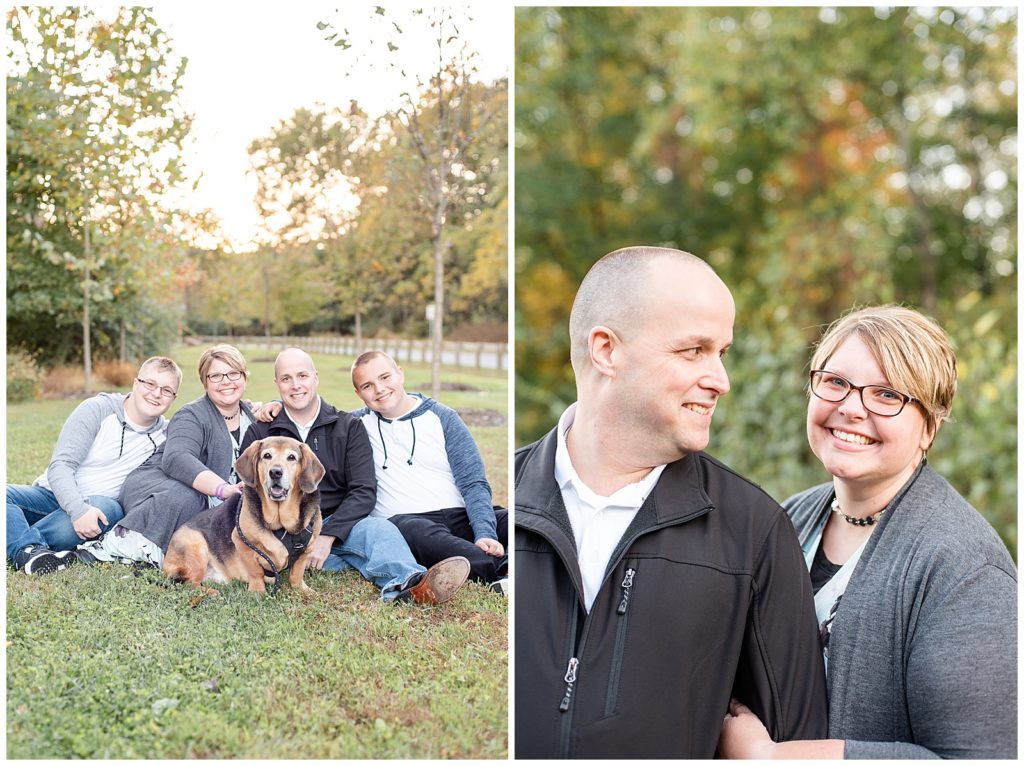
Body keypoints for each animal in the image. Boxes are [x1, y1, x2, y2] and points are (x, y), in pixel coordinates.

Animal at [163, 436, 325, 593]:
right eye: (267, 456)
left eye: (291, 457)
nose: (275, 472)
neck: (281, 525)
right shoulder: (242, 543)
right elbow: (256, 572)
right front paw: (257, 591)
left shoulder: (307, 549)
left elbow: (297, 574)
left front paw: (302, 590)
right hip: (196, 547)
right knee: (189, 583)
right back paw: (211, 592)